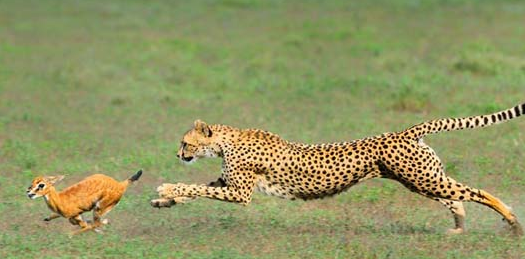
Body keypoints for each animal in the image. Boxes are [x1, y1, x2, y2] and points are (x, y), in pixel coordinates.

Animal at [149, 103, 520, 236]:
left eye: (185, 142)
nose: (178, 153)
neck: (227, 141)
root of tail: (404, 131)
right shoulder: (228, 183)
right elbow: (197, 189)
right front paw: (165, 201)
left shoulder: (240, 193)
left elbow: (195, 187)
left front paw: (165, 189)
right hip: (423, 180)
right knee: (456, 199)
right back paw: (458, 228)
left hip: (425, 179)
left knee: (477, 192)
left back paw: (513, 221)